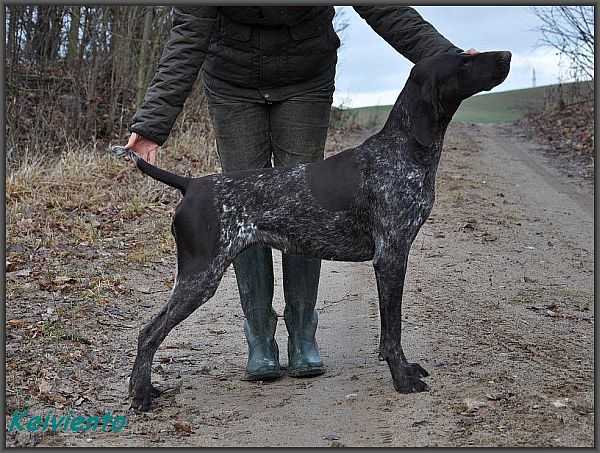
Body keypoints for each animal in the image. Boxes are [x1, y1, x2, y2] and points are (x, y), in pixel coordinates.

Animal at [120, 50, 510, 410]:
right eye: (463, 61)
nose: (506, 55)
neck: (404, 150)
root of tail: (191, 184)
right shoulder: (391, 255)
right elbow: (393, 332)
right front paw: (402, 378)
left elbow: (391, 330)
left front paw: (407, 369)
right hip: (200, 276)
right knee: (147, 332)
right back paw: (141, 394)